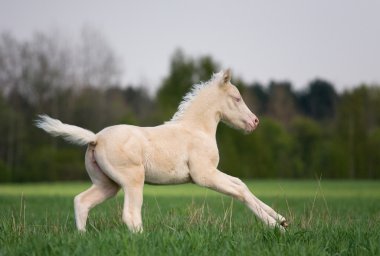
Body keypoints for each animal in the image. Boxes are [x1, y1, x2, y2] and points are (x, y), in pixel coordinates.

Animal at [37, 69, 288, 232]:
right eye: (236, 98)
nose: (255, 122)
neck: (197, 129)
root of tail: (95, 138)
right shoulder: (204, 175)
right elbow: (239, 192)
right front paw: (276, 227)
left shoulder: (212, 171)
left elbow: (241, 184)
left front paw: (282, 219)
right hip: (132, 180)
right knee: (130, 215)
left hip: (107, 184)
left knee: (81, 202)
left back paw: (82, 237)